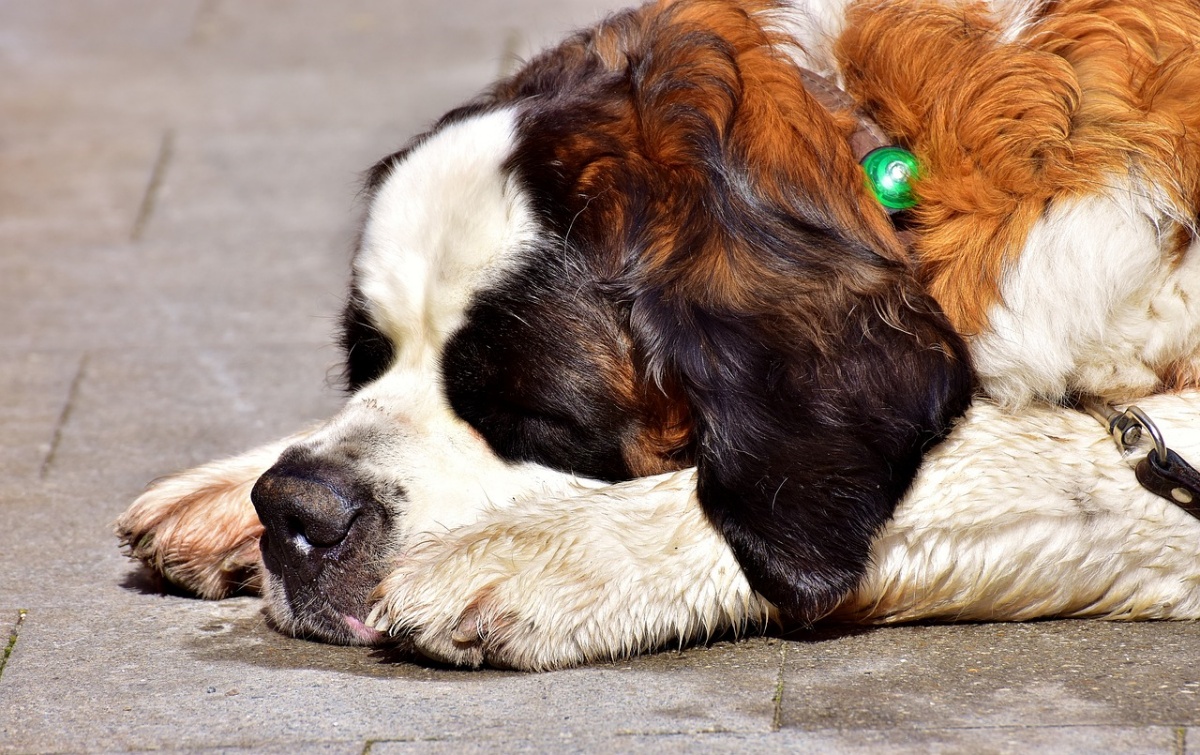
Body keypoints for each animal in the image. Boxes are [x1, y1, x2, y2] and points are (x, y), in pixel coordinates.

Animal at [117, 0, 1200, 672]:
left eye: (532, 415)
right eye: (366, 356)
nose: (295, 510)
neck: (895, 156)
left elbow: (1009, 459)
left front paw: (546, 550)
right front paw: (227, 490)